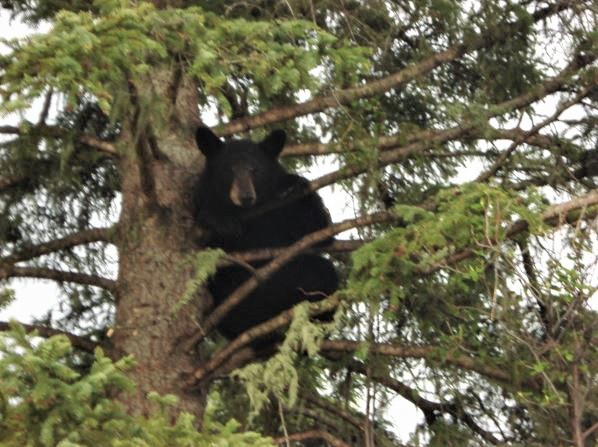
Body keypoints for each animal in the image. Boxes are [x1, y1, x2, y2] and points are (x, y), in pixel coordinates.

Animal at [195, 126, 340, 350]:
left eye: (255, 169)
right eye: (229, 169)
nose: (246, 196)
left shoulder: (283, 213)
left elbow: (321, 231)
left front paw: (294, 185)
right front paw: (222, 221)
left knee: (324, 272)